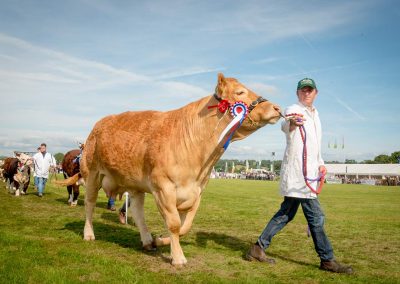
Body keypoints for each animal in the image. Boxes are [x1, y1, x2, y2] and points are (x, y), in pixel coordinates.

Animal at [61, 74, 282, 266]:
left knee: (137, 212)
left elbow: (184, 227)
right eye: (240, 92)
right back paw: (89, 234)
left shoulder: (196, 191)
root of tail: (99, 124)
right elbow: (174, 223)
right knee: (89, 204)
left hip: (135, 184)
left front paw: (160, 240)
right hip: (92, 173)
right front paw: (178, 258)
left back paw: (148, 241)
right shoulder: (163, 187)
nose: (276, 107)